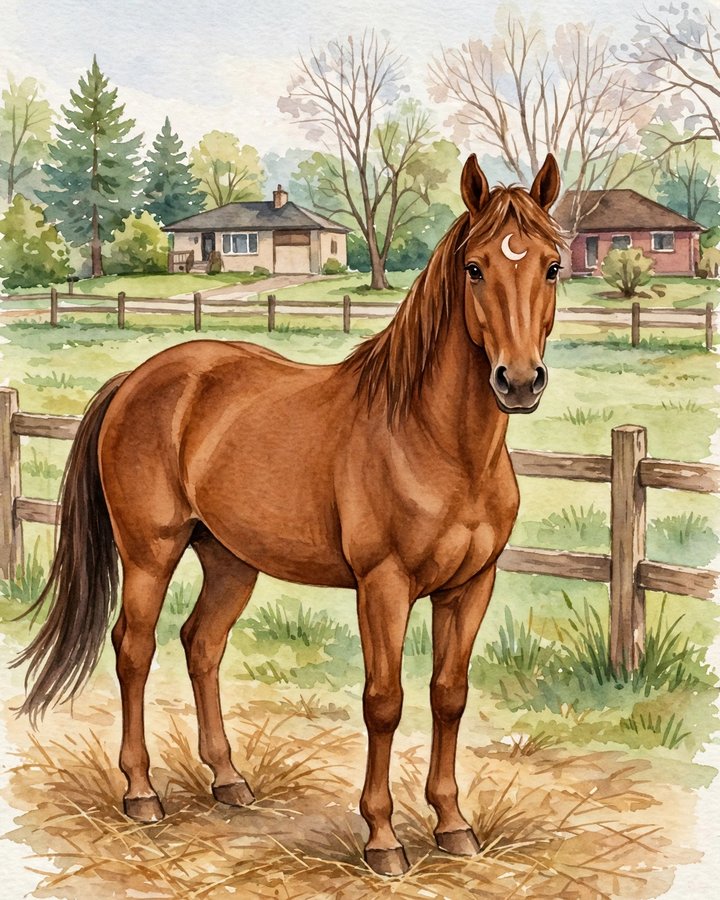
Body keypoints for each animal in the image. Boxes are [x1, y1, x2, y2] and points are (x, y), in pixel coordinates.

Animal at [15, 153, 563, 877]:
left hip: (229, 560)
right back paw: (141, 793)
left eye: (552, 266)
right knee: (134, 649)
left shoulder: (472, 586)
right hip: (151, 552)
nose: (519, 382)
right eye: (475, 268)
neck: (432, 440)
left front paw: (452, 825)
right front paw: (382, 838)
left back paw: (228, 780)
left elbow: (450, 695)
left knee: (202, 645)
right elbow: (383, 701)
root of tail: (137, 379)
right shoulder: (383, 587)